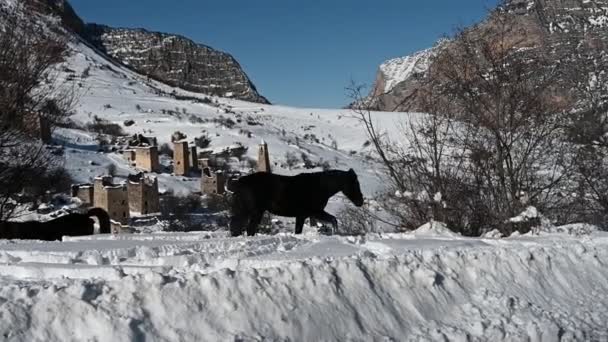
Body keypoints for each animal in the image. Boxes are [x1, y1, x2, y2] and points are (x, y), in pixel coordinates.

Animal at [227, 168, 360, 235]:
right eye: (354, 183)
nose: (360, 201)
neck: (320, 186)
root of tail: (238, 183)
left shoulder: (309, 214)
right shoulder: (312, 213)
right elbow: (333, 220)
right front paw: (335, 233)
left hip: (247, 211)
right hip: (253, 212)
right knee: (247, 228)